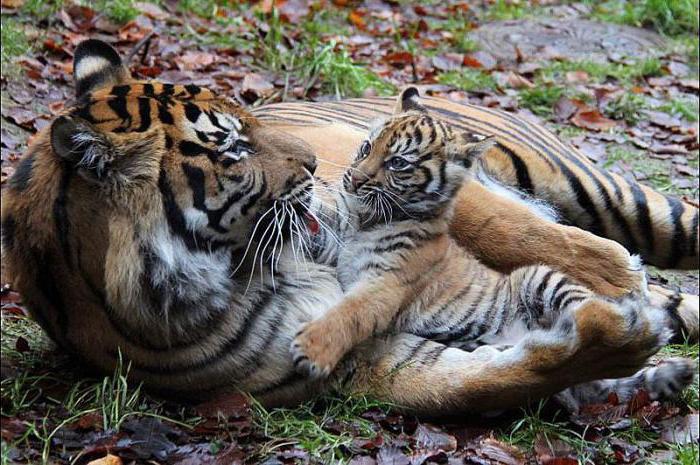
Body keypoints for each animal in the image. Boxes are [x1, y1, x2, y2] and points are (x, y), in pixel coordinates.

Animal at [1, 39, 696, 410]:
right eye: (232, 147)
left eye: (250, 116)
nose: (312, 165)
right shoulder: (367, 358)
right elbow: (479, 384)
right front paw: (627, 338)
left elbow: (508, 232)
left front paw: (621, 292)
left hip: (602, 192)